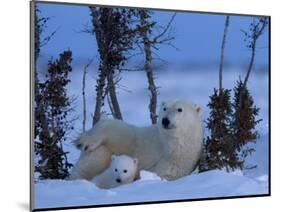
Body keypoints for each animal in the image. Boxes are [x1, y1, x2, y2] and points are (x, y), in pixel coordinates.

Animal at [69, 100, 202, 181]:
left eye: (179, 109)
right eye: (164, 108)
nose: (165, 120)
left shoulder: (178, 162)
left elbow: (165, 174)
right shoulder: (141, 139)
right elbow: (120, 130)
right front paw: (85, 142)